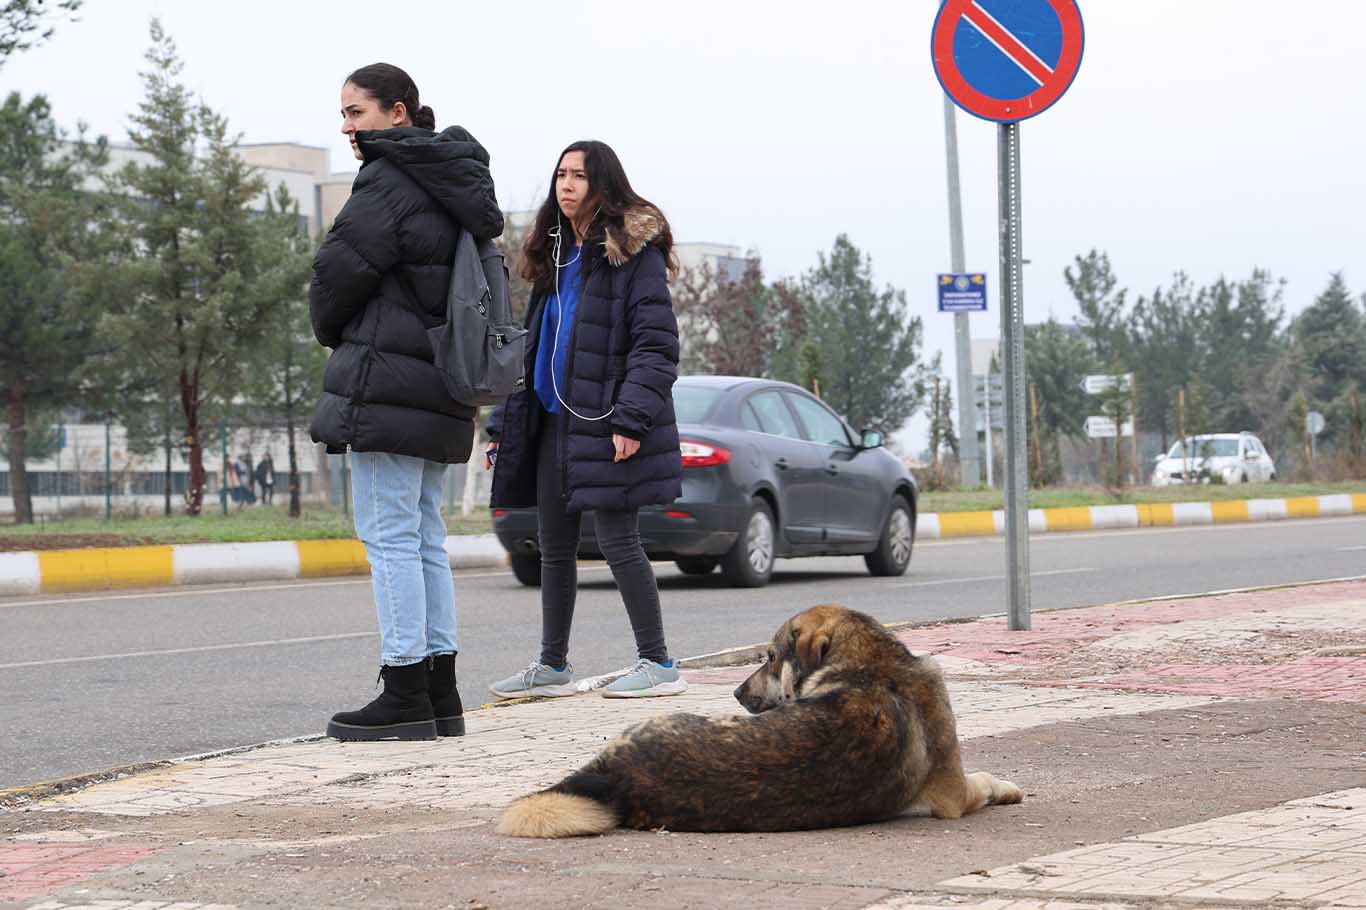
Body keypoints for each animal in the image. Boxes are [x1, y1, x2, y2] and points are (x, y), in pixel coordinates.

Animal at [497, 601, 1021, 836]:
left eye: (769, 657)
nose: (735, 691)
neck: (867, 663)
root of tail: (615, 774)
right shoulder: (953, 794)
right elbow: (984, 778)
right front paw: (1007, 787)